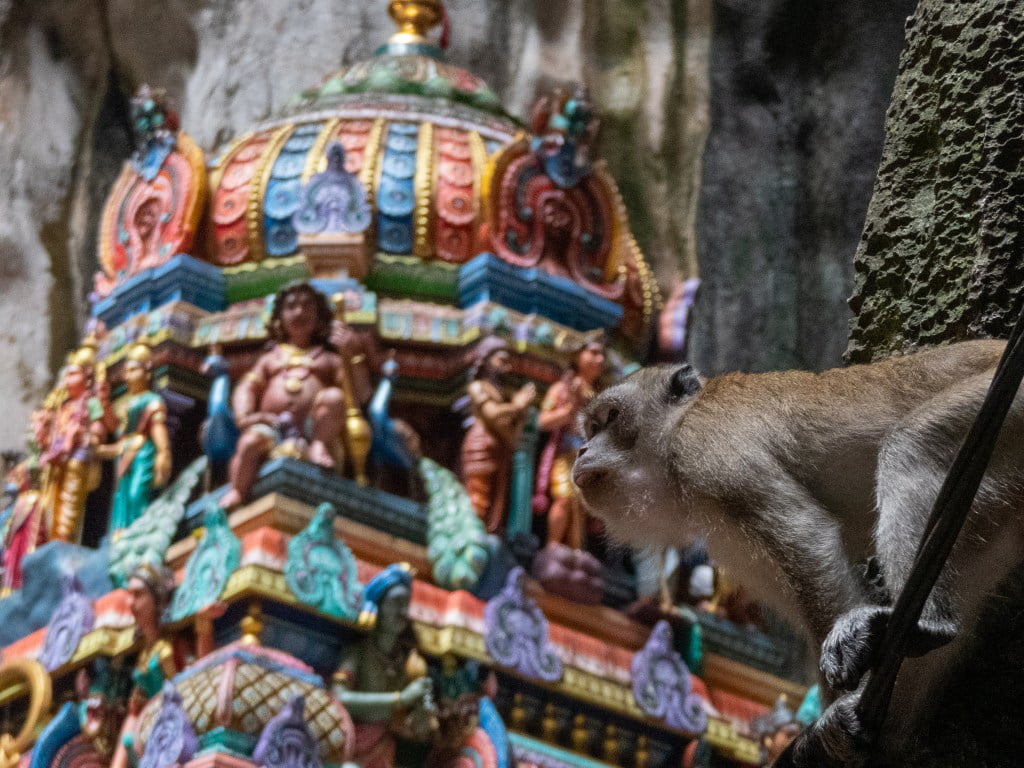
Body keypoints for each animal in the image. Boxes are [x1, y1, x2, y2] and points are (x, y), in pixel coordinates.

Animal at [573, 344, 1024, 768]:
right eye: (592, 427)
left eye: (611, 417)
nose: (581, 450)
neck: (677, 427)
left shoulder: (709, 447)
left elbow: (805, 535)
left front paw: (841, 709)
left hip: (1010, 408)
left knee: (910, 447)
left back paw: (929, 623)